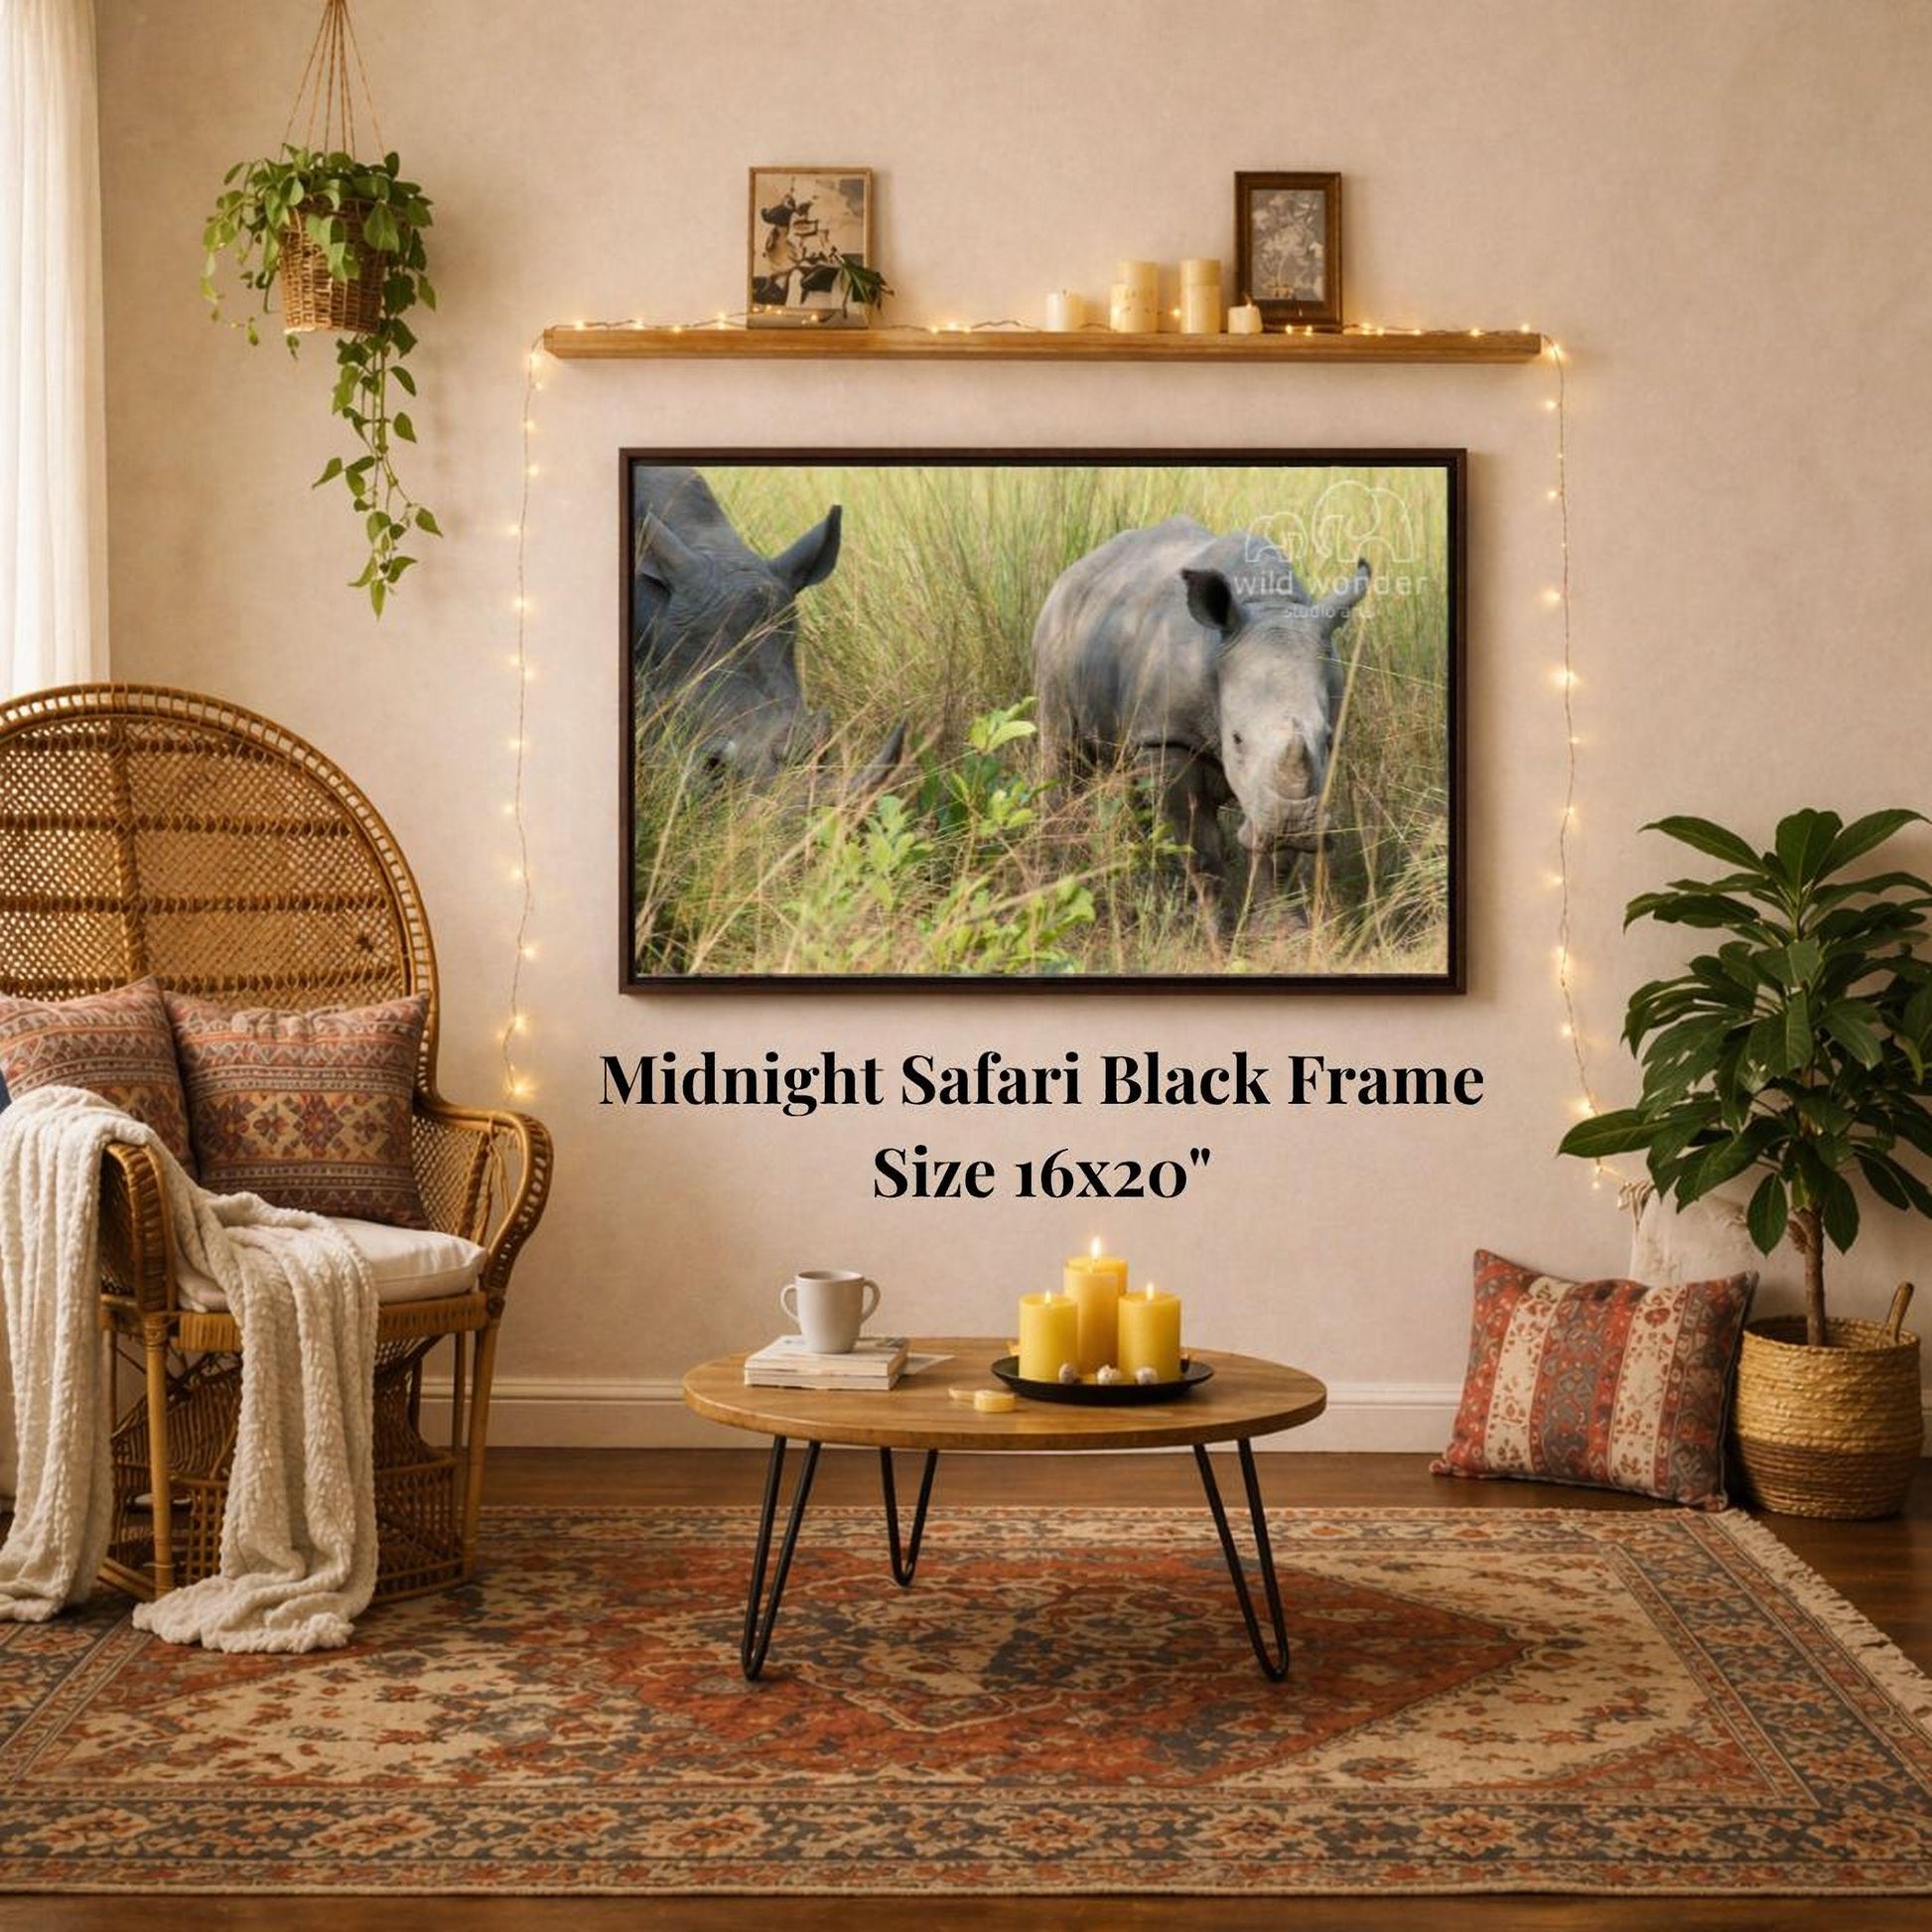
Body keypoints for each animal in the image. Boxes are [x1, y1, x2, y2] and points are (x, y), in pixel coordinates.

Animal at [1032, 518, 1370, 921]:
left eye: (1328, 738)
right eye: (1237, 739)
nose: (1293, 825)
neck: (1267, 602)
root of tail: (1078, 568)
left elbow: (1277, 858)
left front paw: (1283, 928)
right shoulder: (1170, 738)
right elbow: (1200, 848)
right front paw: (1213, 928)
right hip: (1057, 630)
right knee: (1062, 754)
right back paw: (1058, 871)